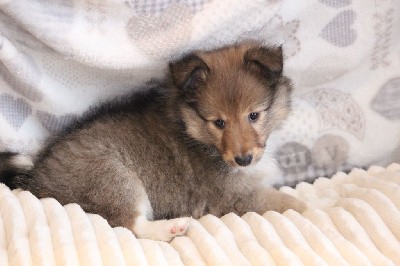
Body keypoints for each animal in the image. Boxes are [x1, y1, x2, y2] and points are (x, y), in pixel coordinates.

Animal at [0, 41, 306, 241]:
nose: (243, 160)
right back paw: (173, 227)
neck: (196, 133)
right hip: (112, 177)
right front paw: (315, 208)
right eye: (218, 122)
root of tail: (36, 178)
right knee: (129, 225)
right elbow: (288, 201)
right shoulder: (236, 195)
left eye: (254, 115)